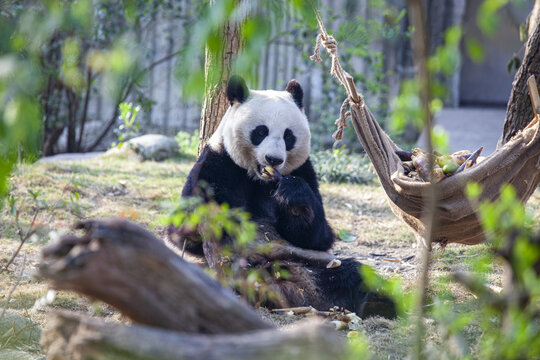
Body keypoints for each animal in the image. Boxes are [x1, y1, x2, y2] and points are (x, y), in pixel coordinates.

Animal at [179, 76, 394, 318]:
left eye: (288, 136)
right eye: (260, 131)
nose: (273, 159)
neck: (259, 179)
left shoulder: (304, 171)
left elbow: (319, 237)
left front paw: (294, 199)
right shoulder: (215, 163)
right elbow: (186, 232)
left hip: (308, 263)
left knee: (353, 273)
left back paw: (377, 303)